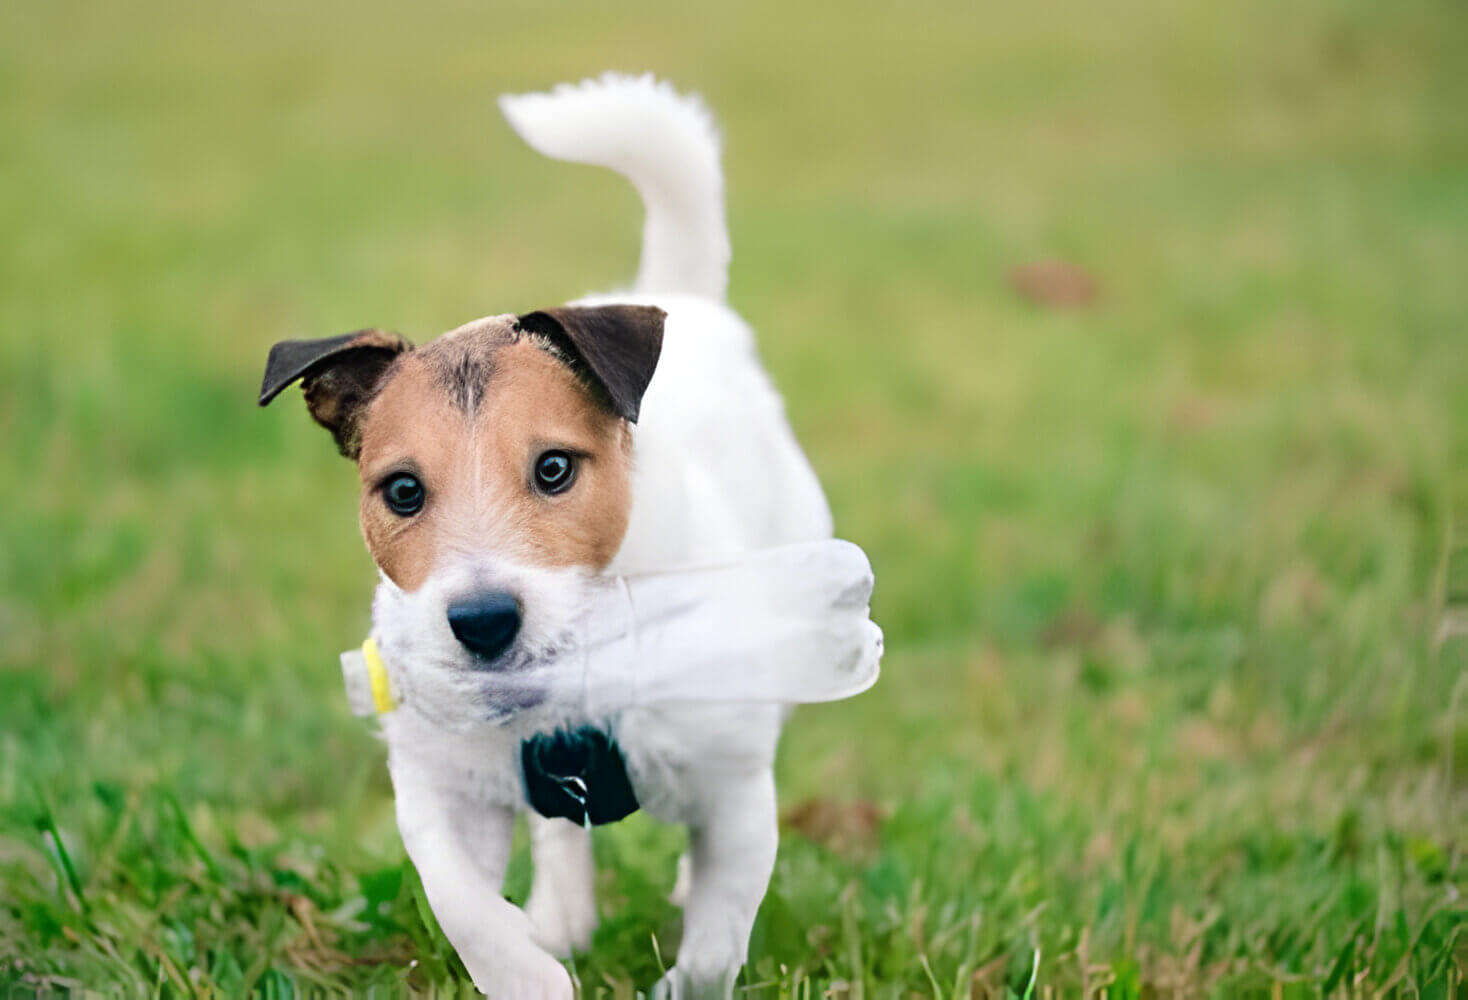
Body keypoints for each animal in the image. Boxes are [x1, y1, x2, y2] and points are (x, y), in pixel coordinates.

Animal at [258, 74, 833, 992]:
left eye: (555, 469)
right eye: (403, 490)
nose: (484, 622)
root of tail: (690, 303)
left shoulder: (735, 790)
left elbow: (717, 939)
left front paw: (681, 979)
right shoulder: (439, 783)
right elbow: (461, 900)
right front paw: (528, 969)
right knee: (560, 832)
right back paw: (561, 919)